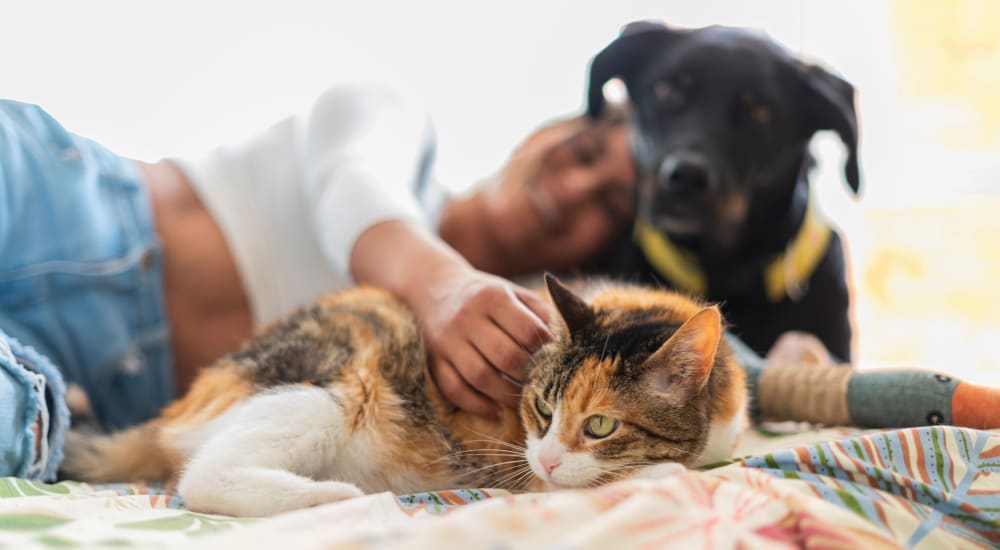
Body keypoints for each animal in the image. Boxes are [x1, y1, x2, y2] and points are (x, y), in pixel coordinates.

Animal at [60, 278, 744, 520]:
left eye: (600, 424)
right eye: (543, 410)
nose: (548, 455)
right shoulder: (519, 466)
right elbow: (596, 481)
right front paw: (661, 472)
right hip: (335, 388)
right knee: (201, 478)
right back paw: (333, 496)